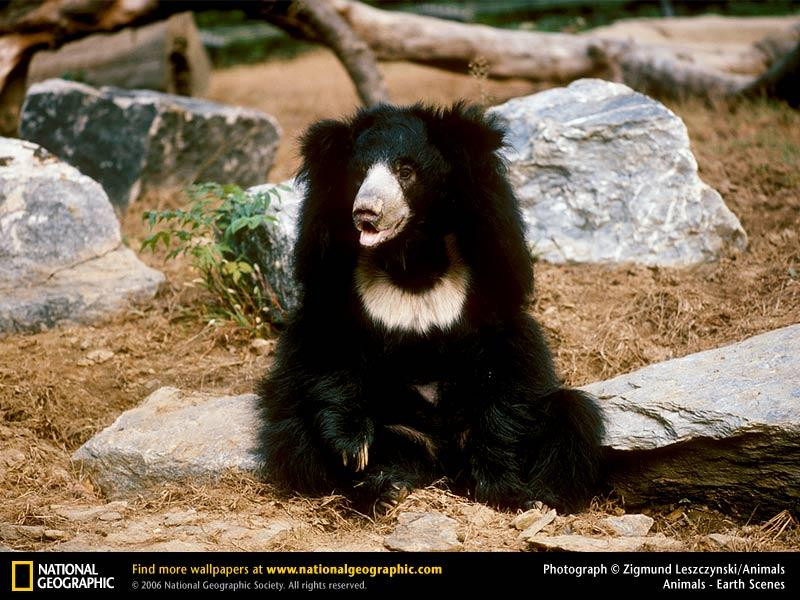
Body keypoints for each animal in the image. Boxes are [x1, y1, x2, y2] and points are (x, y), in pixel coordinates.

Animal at [260, 101, 604, 512]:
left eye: (405, 171)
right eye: (359, 174)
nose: (366, 213)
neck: (412, 257)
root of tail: (438, 457)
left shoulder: (494, 261)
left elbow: (511, 359)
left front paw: (499, 485)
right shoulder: (328, 263)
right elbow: (327, 342)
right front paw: (353, 448)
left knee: (572, 417)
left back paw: (541, 498)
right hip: (388, 427)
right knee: (292, 429)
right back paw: (385, 487)